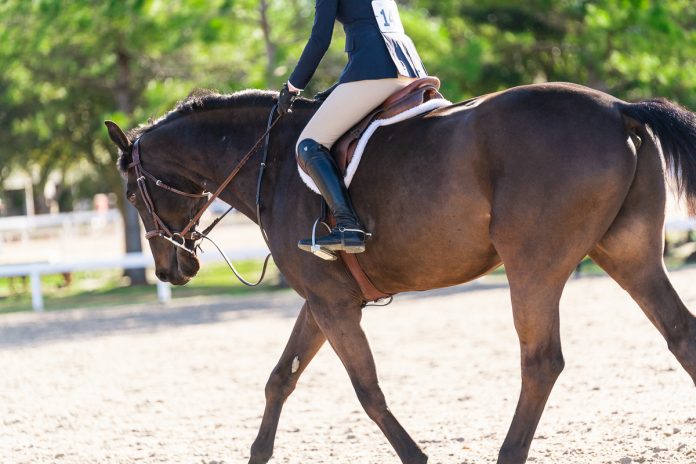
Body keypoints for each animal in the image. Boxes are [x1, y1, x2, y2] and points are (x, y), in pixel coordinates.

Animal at [106, 82, 696, 464]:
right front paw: (257, 454)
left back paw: (508, 454)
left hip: (534, 265)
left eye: (133, 193)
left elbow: (366, 390)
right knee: (680, 335)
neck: (269, 162)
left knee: (541, 362)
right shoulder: (321, 299)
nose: (171, 269)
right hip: (627, 253)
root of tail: (618, 109)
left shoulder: (332, 304)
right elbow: (281, 379)